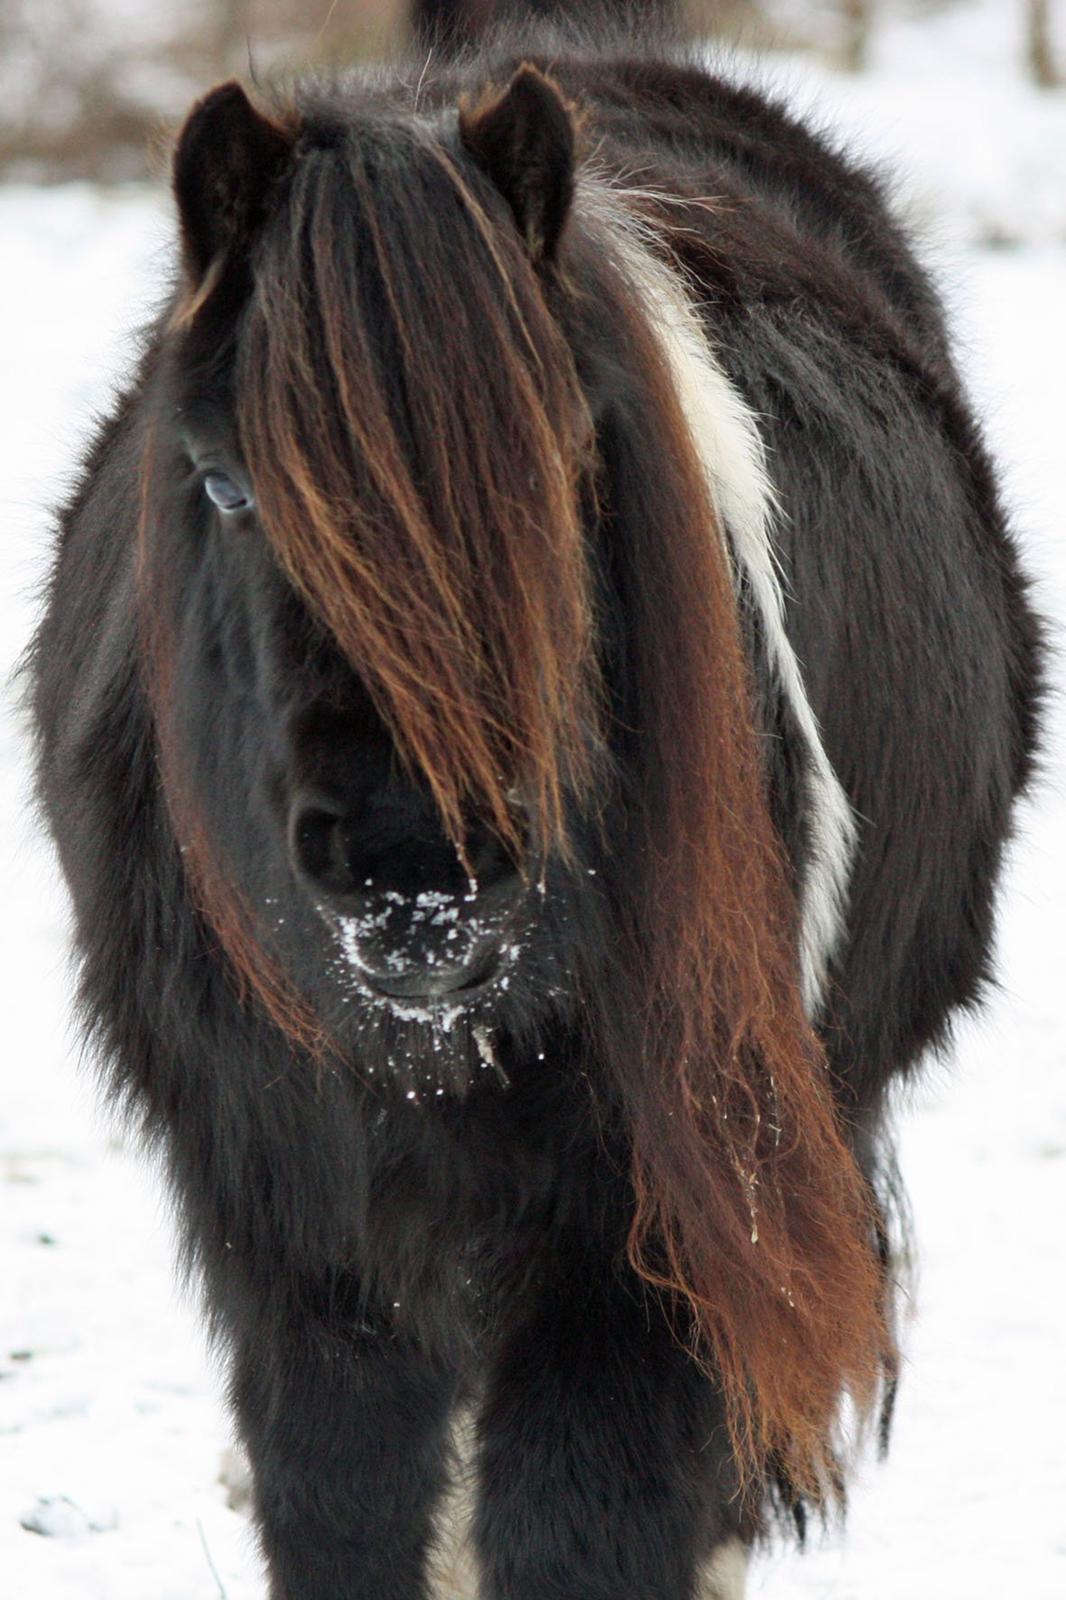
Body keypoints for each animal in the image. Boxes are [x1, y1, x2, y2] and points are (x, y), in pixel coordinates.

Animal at [31, 28, 1037, 1600]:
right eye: (224, 484)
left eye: (565, 471)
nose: (417, 874)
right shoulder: (294, 1237)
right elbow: (347, 1510)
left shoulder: (644, 1243)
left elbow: (586, 1523)